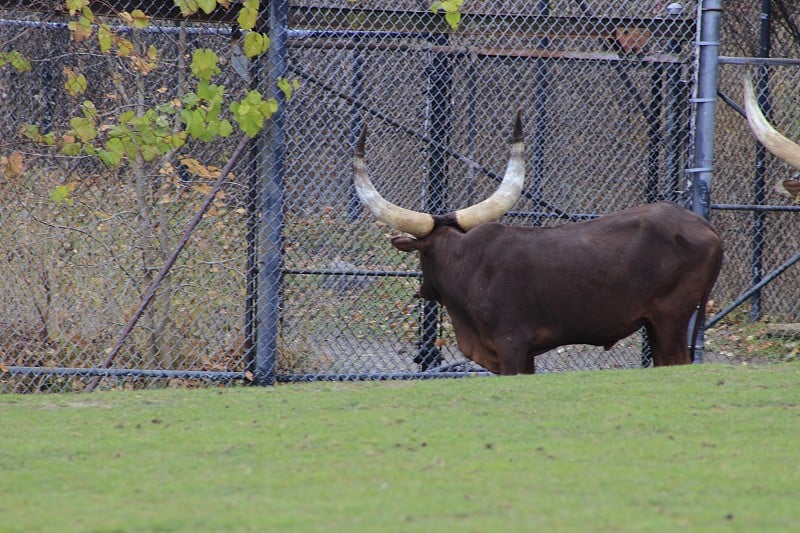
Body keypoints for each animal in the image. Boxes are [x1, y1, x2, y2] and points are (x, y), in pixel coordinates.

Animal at [354, 113, 720, 374]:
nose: (422, 291)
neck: (465, 262)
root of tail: (706, 228)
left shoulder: (512, 345)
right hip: (656, 326)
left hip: (670, 320)